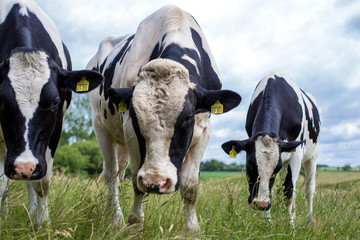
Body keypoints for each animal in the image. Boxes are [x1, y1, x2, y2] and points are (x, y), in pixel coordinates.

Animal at [0, 0, 104, 227]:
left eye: (55, 102)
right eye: (1, 100)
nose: (24, 167)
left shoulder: (55, 128)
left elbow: (42, 183)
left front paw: (41, 224)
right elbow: (1, 184)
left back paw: (31, 212)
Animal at [86, 4, 240, 232]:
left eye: (187, 119)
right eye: (135, 116)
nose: (155, 182)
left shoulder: (204, 130)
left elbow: (190, 185)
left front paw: (192, 229)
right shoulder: (130, 131)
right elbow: (136, 181)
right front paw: (134, 223)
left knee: (119, 172)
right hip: (100, 125)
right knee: (112, 173)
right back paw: (115, 218)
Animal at [222, 71, 320, 225]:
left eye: (276, 168)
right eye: (250, 164)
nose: (261, 204)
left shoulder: (297, 153)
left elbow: (288, 191)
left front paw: (290, 226)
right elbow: (273, 190)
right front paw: (267, 224)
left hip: (312, 155)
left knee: (309, 189)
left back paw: (309, 222)